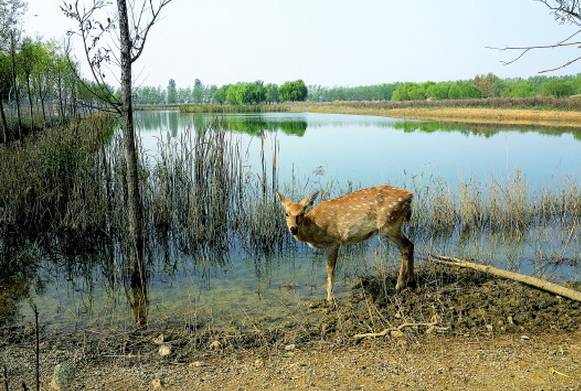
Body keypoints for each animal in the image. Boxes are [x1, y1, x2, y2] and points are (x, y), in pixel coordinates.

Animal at [276, 186, 412, 304]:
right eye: (286, 213)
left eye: (301, 213)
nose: (293, 229)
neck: (314, 228)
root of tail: (410, 196)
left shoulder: (334, 241)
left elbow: (330, 270)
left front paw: (330, 298)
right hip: (393, 227)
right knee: (409, 246)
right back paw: (411, 281)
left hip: (389, 226)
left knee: (406, 247)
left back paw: (399, 285)